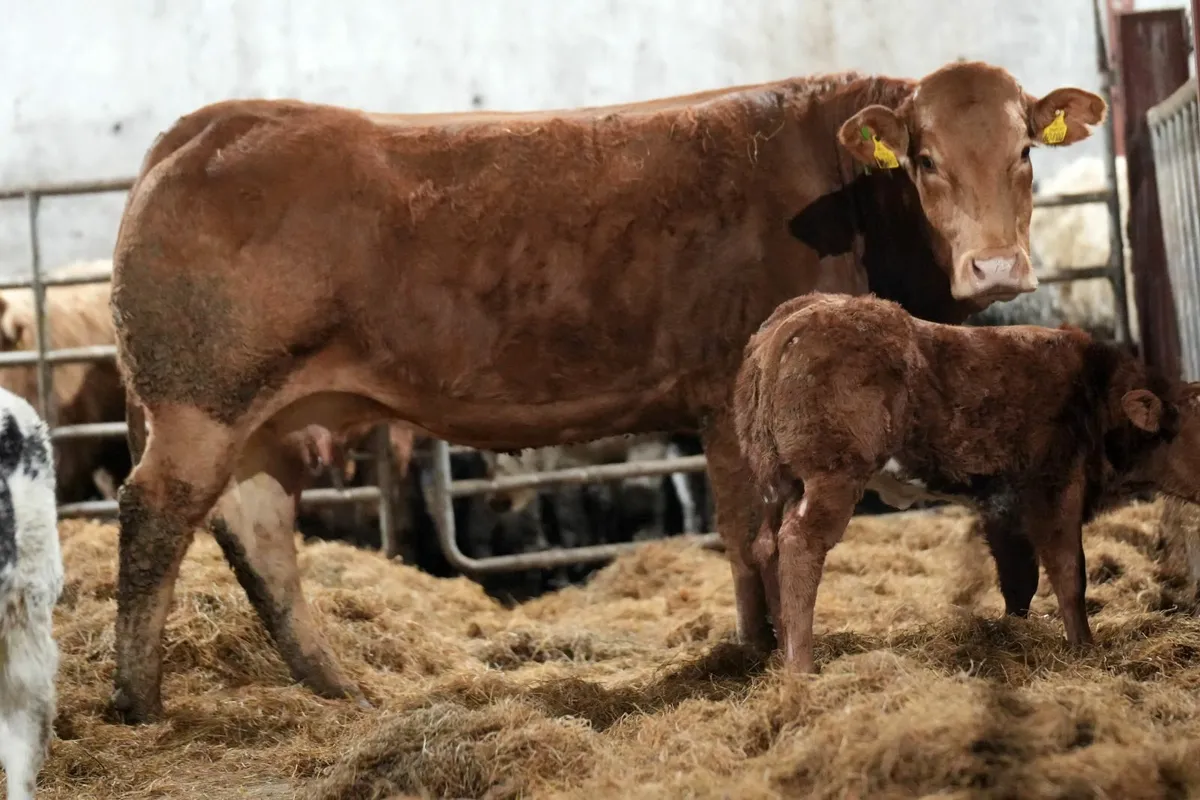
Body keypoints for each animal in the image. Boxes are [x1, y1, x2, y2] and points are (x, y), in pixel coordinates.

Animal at [107, 60, 1105, 722]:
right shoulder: (729, 389)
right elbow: (751, 536)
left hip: (273, 420)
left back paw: (339, 686)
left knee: (258, 530)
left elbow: (746, 535)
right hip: (201, 401)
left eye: (1026, 150)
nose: (997, 265)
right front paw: (759, 657)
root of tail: (212, 122)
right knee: (156, 513)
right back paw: (137, 702)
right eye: (925, 159)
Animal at [733, 292, 1200, 672]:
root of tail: (799, 315)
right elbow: (1070, 575)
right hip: (832, 474)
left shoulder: (1004, 508)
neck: (1095, 391)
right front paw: (1085, 649)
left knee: (767, 546)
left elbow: (1019, 581)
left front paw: (1014, 634)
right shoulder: (1055, 490)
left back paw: (781, 654)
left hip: (779, 483)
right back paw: (802, 666)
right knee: (799, 543)